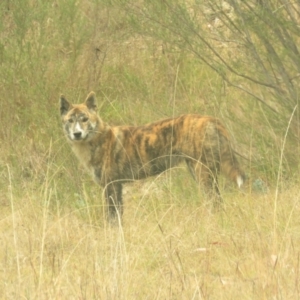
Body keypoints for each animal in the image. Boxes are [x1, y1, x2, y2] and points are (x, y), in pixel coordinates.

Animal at [59, 92, 245, 223]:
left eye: (84, 119)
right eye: (70, 120)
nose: (77, 134)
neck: (98, 139)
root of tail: (212, 119)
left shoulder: (111, 186)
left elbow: (112, 218)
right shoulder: (117, 187)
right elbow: (118, 217)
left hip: (203, 173)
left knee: (216, 201)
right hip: (199, 172)